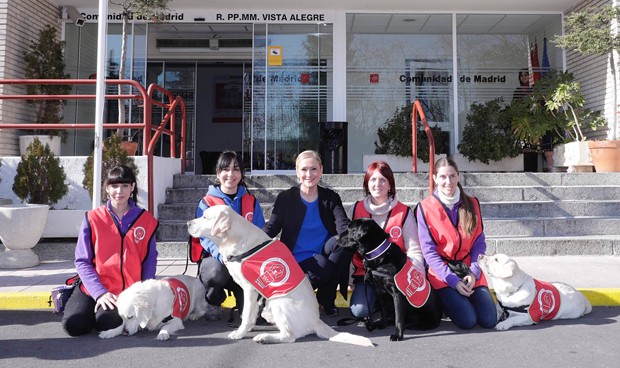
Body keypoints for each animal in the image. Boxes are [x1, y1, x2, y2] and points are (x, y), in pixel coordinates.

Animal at [186, 206, 372, 346]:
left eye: (204, 216)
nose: (188, 223)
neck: (236, 240)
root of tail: (316, 320)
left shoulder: (250, 289)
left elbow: (246, 313)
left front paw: (239, 333)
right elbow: (250, 314)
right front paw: (248, 327)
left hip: (279, 301)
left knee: (289, 336)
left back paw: (264, 337)